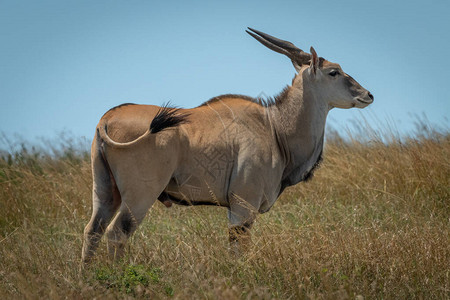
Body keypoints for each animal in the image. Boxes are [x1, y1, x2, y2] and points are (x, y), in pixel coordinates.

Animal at [81, 28, 372, 262]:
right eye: (334, 72)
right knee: (117, 233)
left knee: (92, 230)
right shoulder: (243, 207)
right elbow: (238, 251)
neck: (275, 127)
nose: (368, 94)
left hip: (105, 192)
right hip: (140, 195)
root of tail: (107, 119)